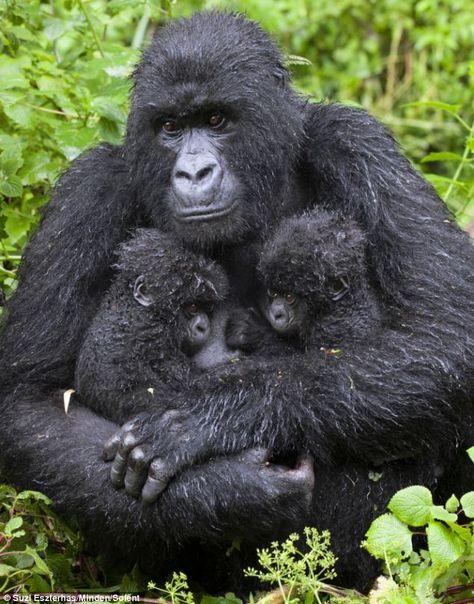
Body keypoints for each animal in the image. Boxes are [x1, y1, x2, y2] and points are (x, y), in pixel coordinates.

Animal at [0, 11, 472, 592]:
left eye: (217, 118)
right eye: (170, 128)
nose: (194, 173)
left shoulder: (357, 146)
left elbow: (446, 336)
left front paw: (206, 418)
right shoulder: (89, 192)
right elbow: (30, 402)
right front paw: (226, 488)